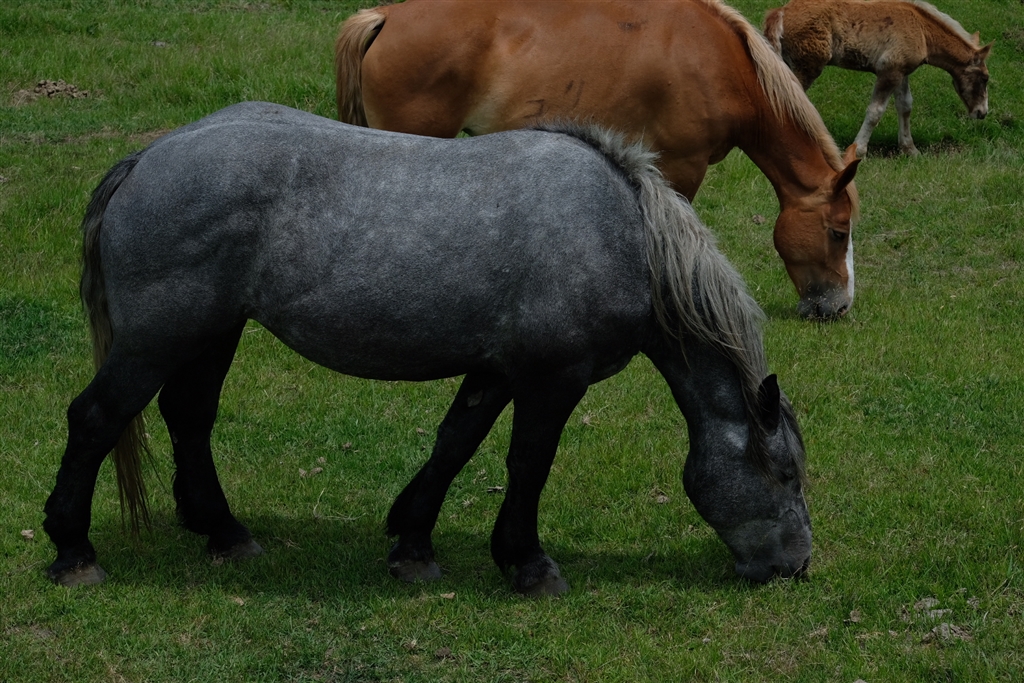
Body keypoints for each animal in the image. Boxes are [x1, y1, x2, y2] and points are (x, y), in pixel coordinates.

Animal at [42, 102, 812, 596]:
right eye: (784, 475)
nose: (797, 565)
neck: (626, 237)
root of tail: (146, 158)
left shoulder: (497, 370)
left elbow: (454, 444)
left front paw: (412, 544)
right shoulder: (554, 379)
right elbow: (528, 463)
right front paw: (528, 564)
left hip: (210, 333)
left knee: (189, 418)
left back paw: (224, 532)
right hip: (158, 339)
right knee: (95, 419)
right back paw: (73, 550)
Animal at [764, 0, 992, 157]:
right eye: (985, 78)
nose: (982, 113)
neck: (922, 31)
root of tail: (781, 11)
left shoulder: (901, 72)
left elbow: (905, 106)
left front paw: (910, 149)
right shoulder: (888, 73)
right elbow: (875, 112)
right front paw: (858, 150)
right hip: (808, 66)